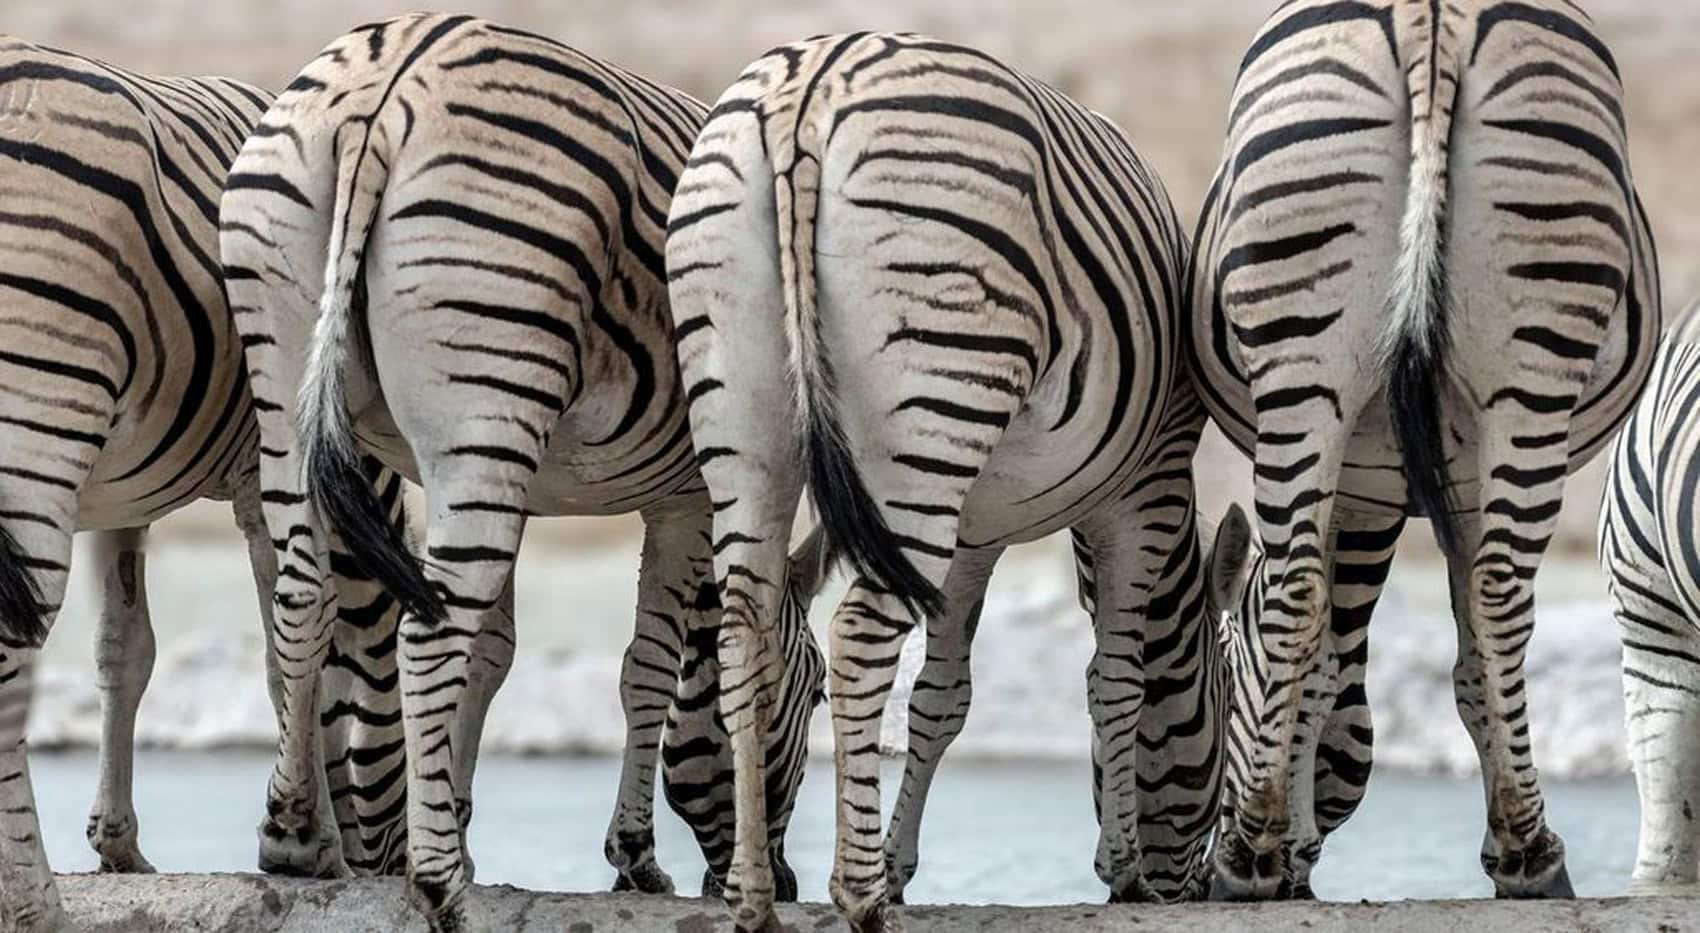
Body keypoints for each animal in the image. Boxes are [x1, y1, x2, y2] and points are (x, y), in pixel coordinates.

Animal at [218, 15, 826, 930]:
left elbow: (494, 651)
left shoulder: (509, 481)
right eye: (816, 691)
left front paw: (457, 821)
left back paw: (294, 836)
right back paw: (437, 888)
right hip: (487, 383)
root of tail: (387, 90)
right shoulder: (684, 493)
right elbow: (644, 666)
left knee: (304, 597)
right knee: (426, 635)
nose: (786, 882)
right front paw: (632, 857)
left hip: (298, 391)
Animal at [668, 31, 1221, 932]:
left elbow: (942, 694)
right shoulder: (1148, 488)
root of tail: (805, 92)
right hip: (932, 406)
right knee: (860, 632)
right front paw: (1126, 868)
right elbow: (1117, 677)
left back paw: (753, 898)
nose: (1196, 888)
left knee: (744, 629)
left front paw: (900, 863)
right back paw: (858, 897)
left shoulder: (974, 529)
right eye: (1219, 714)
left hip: (742, 409)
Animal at [1188, 0, 1659, 899]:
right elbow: (1394, 658)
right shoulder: (1400, 485)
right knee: (1488, 593)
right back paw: (1525, 853)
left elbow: (1342, 656)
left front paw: (1285, 848)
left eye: (1221, 687)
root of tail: (1430, 14)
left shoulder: (1375, 485)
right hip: (1516, 354)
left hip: (1323, 356)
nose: (1193, 879)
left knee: (1316, 589)